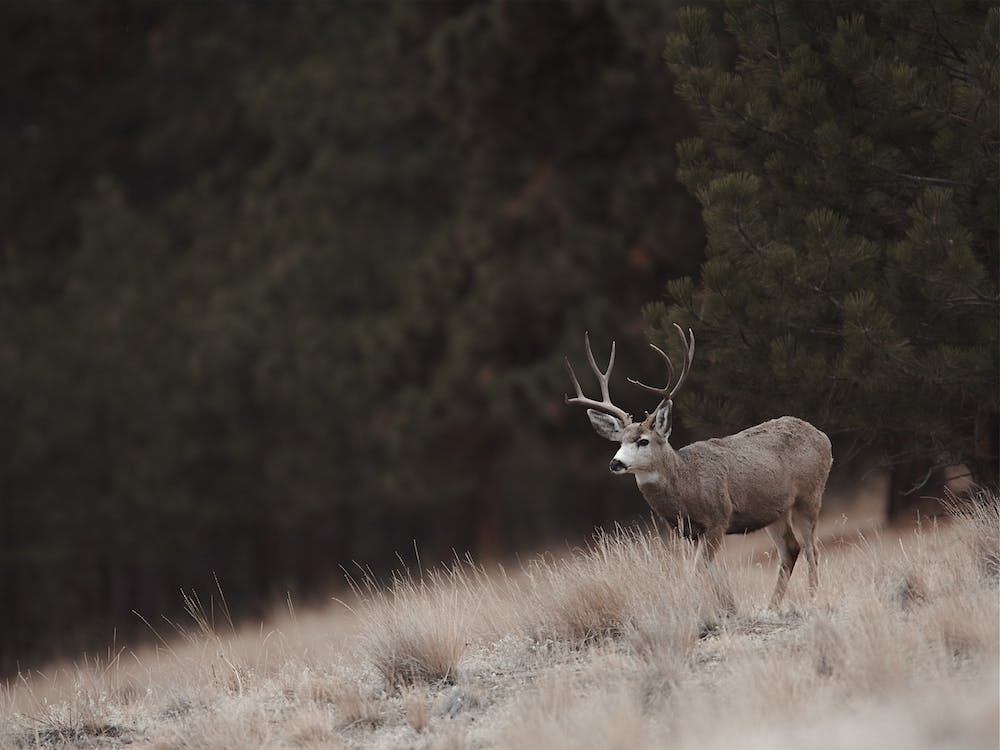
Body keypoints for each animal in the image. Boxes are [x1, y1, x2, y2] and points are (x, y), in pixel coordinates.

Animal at [565, 325, 832, 608]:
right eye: (620, 441)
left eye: (643, 441)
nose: (615, 463)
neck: (687, 484)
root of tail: (823, 437)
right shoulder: (692, 532)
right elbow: (710, 572)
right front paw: (727, 606)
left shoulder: (719, 517)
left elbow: (695, 570)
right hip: (774, 510)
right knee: (791, 548)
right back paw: (772, 605)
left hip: (809, 495)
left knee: (812, 548)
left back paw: (813, 598)